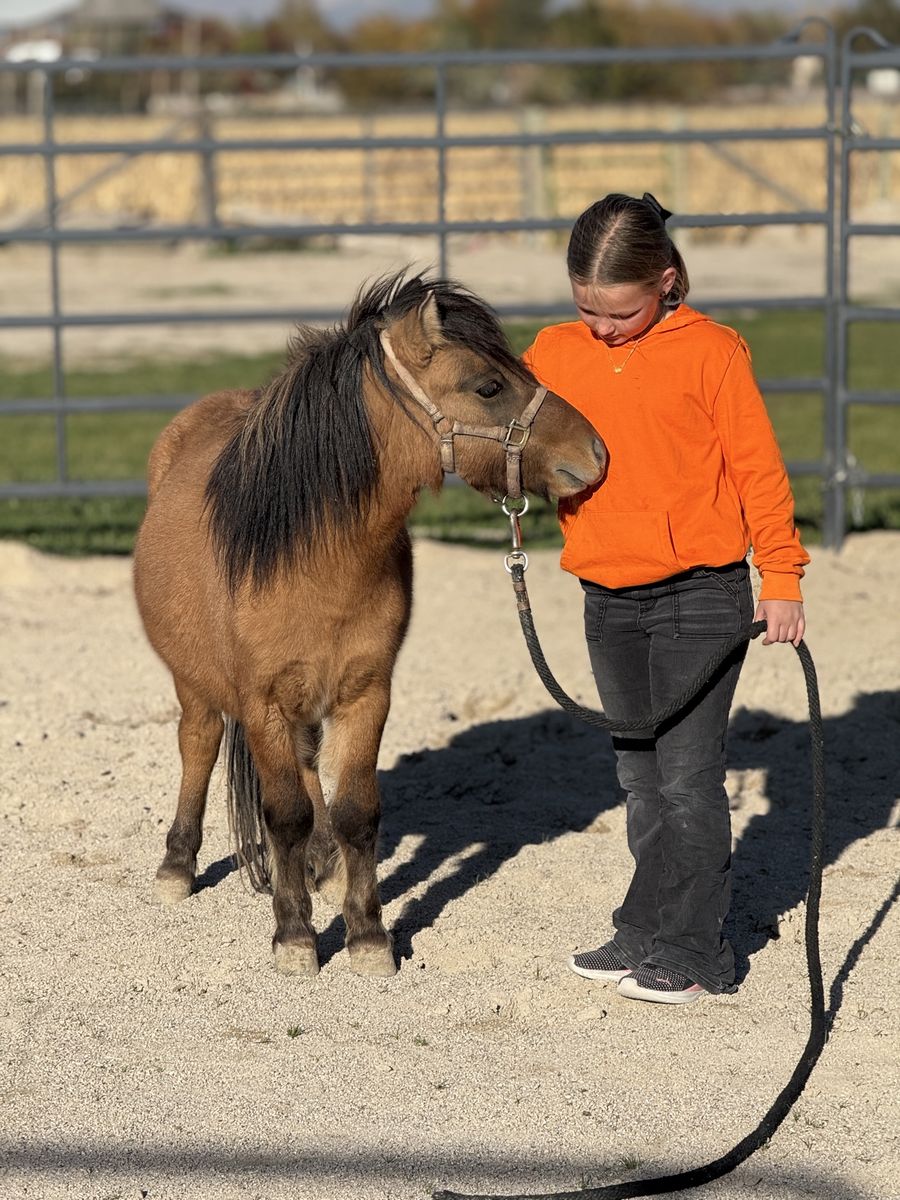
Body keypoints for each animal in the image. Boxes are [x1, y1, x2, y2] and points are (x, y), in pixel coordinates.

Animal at [132, 270, 606, 978]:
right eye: (488, 387)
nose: (598, 454)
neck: (313, 556)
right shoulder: (261, 700)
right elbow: (284, 815)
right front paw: (295, 938)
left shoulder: (366, 692)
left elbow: (356, 812)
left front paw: (367, 935)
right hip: (197, 684)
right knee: (200, 745)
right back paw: (177, 866)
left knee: (307, 771)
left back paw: (322, 866)